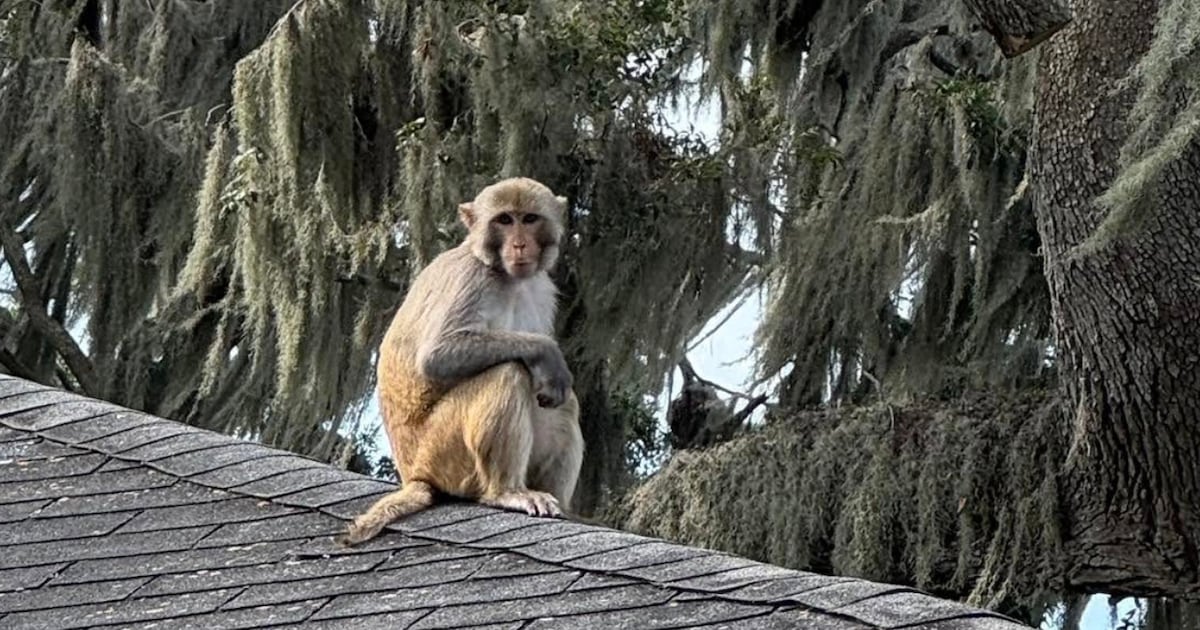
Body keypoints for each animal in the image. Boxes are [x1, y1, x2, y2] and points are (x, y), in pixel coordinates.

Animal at [337, 177, 584, 546]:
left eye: (529, 219)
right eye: (504, 220)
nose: (520, 245)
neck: (504, 275)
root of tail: (415, 475)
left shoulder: (542, 290)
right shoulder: (471, 278)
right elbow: (438, 356)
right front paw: (547, 352)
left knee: (565, 403)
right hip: (442, 453)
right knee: (508, 372)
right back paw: (507, 491)